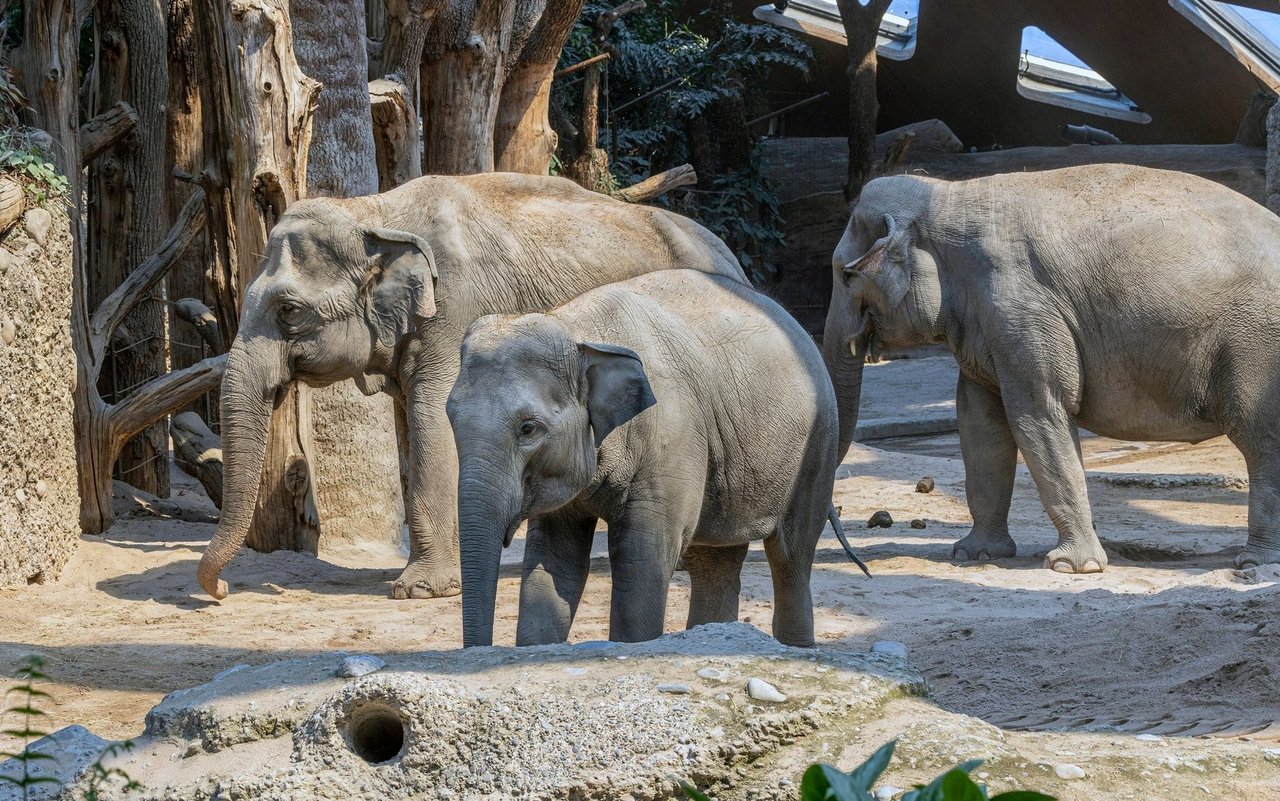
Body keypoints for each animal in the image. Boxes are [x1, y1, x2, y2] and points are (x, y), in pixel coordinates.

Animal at [194, 171, 747, 601]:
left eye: (289, 310)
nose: (222, 590)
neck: (376, 211)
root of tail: (733, 258)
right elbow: (414, 426)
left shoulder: (455, 311)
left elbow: (434, 425)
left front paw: (419, 590)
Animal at [445, 271, 844, 644]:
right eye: (450, 416)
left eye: (528, 429)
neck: (577, 330)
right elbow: (554, 562)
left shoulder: (671, 438)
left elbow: (642, 562)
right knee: (715, 560)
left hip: (818, 446)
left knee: (791, 556)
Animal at [824, 163, 1280, 573]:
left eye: (846, 275)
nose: (856, 560)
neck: (946, 195)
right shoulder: (987, 325)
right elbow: (979, 423)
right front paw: (974, 555)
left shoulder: (1021, 309)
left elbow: (1039, 414)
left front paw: (1072, 567)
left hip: (1256, 346)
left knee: (1260, 439)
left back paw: (1254, 564)